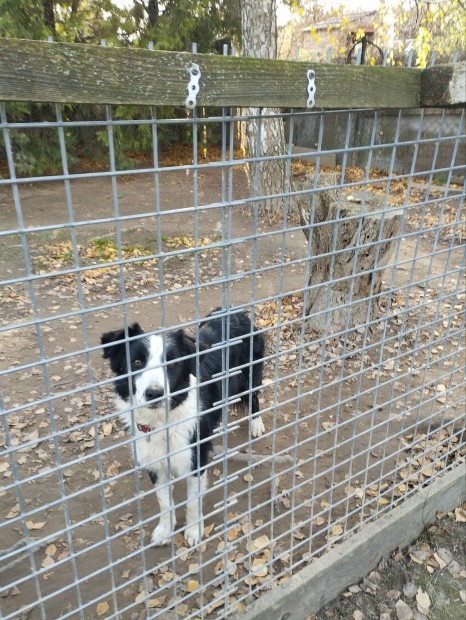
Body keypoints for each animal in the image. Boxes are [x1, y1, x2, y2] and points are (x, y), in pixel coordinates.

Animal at [100, 308, 264, 544]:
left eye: (172, 364)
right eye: (137, 362)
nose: (154, 394)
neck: (162, 422)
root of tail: (235, 311)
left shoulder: (195, 459)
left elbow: (193, 502)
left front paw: (194, 531)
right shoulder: (154, 463)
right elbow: (164, 501)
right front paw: (165, 530)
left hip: (248, 374)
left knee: (254, 396)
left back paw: (257, 424)